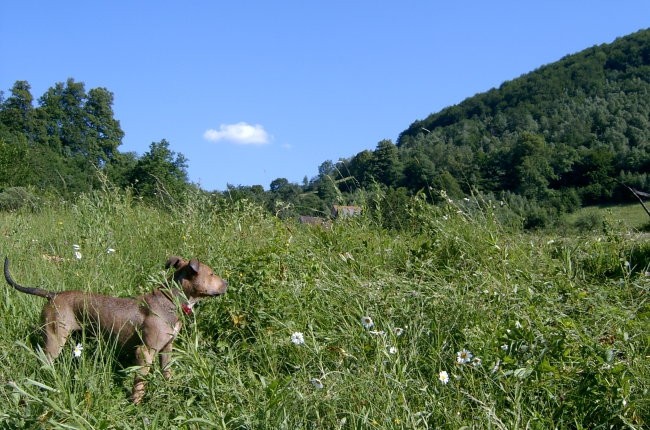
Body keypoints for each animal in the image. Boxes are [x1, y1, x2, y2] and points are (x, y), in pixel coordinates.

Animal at [3, 255, 228, 404]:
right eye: (212, 273)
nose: (226, 282)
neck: (172, 299)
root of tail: (53, 294)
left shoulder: (167, 348)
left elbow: (167, 371)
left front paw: (170, 389)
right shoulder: (145, 352)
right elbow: (140, 383)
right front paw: (136, 405)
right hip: (54, 339)